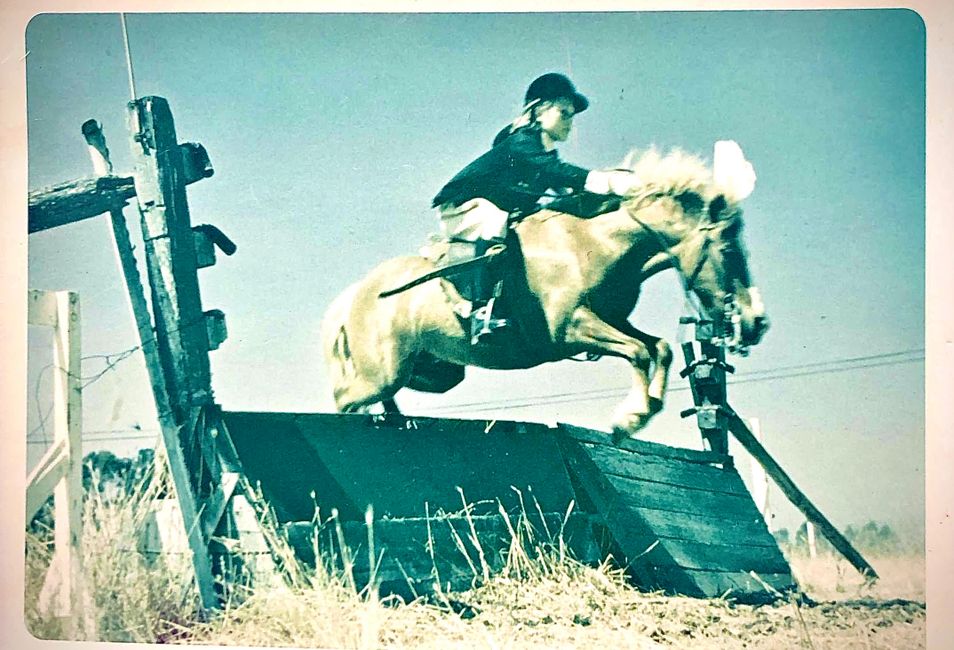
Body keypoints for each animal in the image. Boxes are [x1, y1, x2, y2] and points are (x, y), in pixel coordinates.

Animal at [320, 147, 768, 438]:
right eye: (729, 251)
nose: (755, 323)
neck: (594, 243)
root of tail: (355, 294)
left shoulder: (611, 320)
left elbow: (658, 348)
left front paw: (640, 411)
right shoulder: (570, 329)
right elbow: (640, 352)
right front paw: (628, 419)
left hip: (432, 373)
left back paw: (398, 422)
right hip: (382, 373)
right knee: (344, 397)